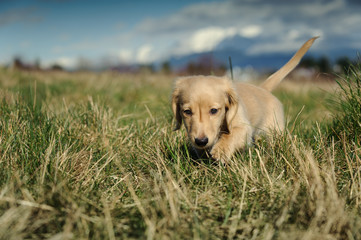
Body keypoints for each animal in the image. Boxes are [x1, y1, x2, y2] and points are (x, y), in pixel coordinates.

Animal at [171, 37, 316, 161]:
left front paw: (221, 150)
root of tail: (263, 89)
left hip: (274, 129)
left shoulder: (244, 127)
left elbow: (231, 135)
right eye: (187, 112)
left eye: (214, 111)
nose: (201, 141)